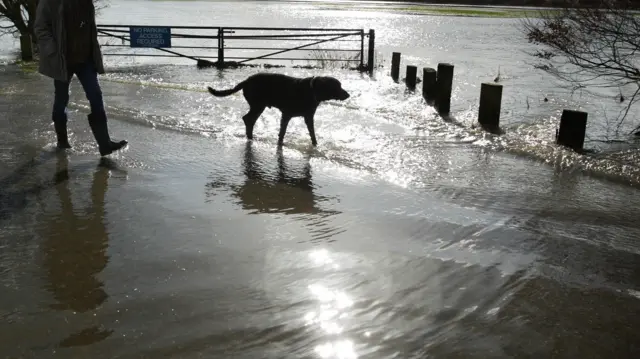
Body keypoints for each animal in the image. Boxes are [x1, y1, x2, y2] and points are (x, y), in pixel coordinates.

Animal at [208, 73, 350, 146]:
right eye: (337, 86)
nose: (348, 95)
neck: (312, 90)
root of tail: (247, 80)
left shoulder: (309, 117)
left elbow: (312, 133)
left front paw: (315, 144)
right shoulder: (286, 115)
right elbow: (282, 132)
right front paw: (280, 144)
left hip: (258, 106)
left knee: (249, 119)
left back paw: (250, 136)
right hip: (258, 105)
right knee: (248, 119)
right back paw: (250, 138)